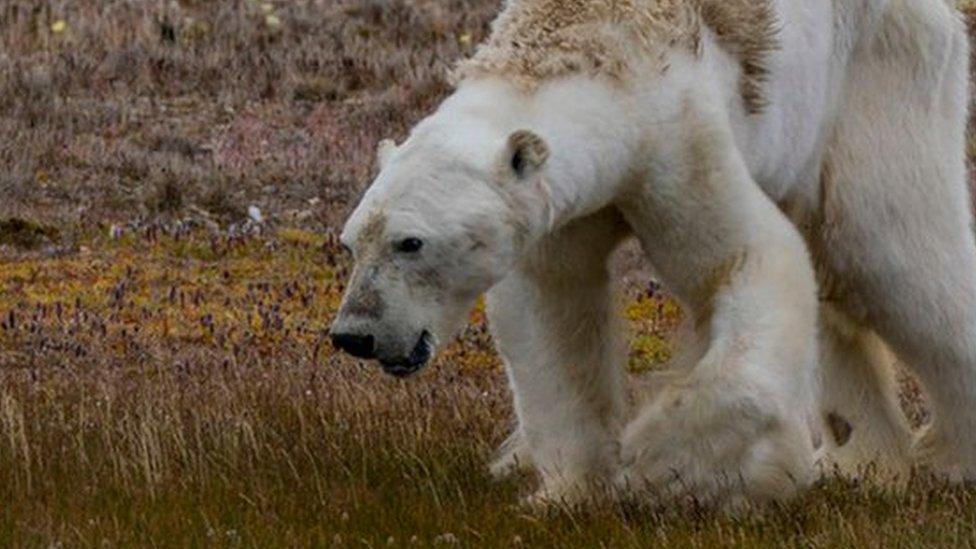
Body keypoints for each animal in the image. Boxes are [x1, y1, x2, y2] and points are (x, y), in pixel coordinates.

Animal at [330, 0, 976, 506]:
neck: (589, 45)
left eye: (411, 242)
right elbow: (552, 313)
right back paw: (862, 461)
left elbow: (746, 260)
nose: (354, 334)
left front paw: (661, 463)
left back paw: (948, 456)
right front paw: (567, 491)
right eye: (351, 240)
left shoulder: (677, 138)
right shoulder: (560, 207)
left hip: (874, 80)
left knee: (892, 255)